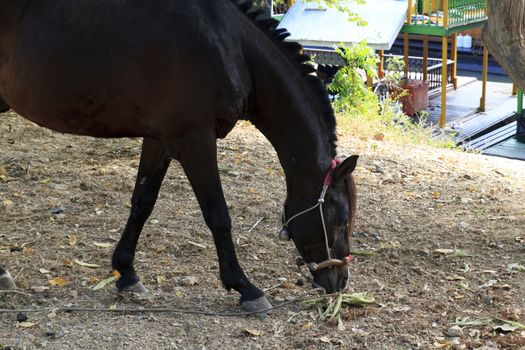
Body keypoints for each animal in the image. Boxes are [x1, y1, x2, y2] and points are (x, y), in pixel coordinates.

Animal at [0, 0, 356, 312]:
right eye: (340, 219)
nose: (339, 281)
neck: (231, 47)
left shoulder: (160, 139)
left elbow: (143, 202)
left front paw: (127, 274)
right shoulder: (194, 139)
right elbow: (218, 215)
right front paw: (245, 287)